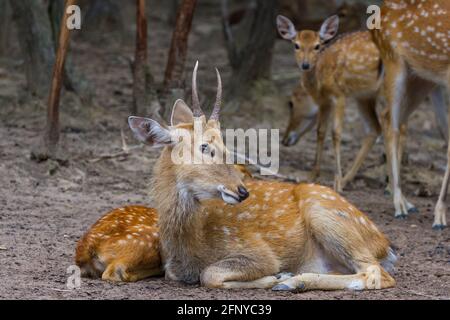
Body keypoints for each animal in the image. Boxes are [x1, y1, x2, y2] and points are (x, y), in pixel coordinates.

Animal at [120, 61, 398, 292]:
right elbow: (185, 274)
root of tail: (384, 244)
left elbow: (210, 274)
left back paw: (292, 282)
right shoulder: (171, 268)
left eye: (225, 144)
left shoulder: (258, 251)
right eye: (204, 147)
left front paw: (277, 276)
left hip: (327, 215)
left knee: (376, 273)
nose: (242, 190)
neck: (188, 247)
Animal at [278, 15, 384, 191]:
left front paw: (336, 182)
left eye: (317, 46)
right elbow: (321, 132)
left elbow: (336, 133)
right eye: (296, 45)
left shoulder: (339, 94)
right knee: (375, 129)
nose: (285, 139)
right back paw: (349, 179)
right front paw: (312, 176)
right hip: (364, 96)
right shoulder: (324, 101)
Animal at [372, 0, 450, 230]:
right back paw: (399, 204)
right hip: (394, 61)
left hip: (423, 77)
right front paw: (439, 217)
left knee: (388, 116)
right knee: (392, 124)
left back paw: (403, 199)